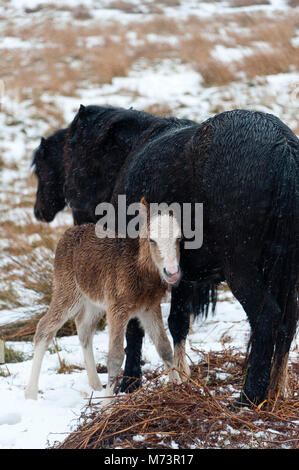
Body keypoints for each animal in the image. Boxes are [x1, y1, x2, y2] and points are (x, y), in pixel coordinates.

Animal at [24, 198, 182, 400]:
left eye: (178, 238)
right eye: (152, 239)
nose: (172, 272)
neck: (141, 272)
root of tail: (68, 232)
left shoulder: (150, 307)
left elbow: (165, 348)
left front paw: (181, 387)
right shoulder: (117, 307)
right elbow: (115, 356)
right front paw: (107, 404)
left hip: (94, 301)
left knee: (84, 327)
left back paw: (95, 384)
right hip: (68, 290)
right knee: (45, 328)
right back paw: (30, 393)